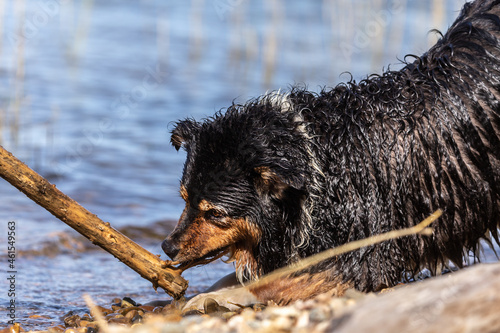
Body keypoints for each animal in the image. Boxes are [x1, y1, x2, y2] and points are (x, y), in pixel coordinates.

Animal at [163, 0, 500, 302]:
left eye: (215, 213)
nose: (168, 247)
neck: (319, 164)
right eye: (184, 199)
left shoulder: (368, 257)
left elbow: (271, 285)